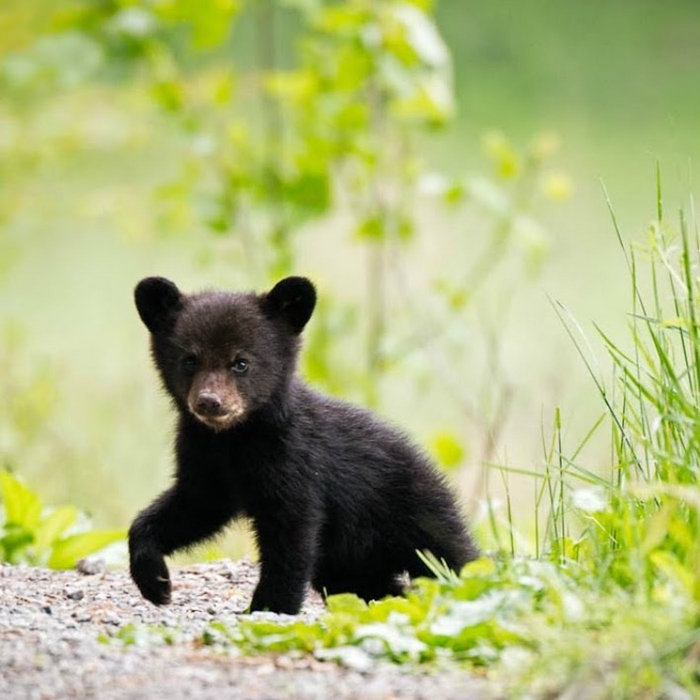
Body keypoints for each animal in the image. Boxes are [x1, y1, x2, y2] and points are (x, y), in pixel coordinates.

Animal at [128, 275, 479, 614]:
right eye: (190, 359)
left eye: (241, 362)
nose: (210, 402)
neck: (234, 440)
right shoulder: (203, 458)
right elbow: (194, 507)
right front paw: (154, 580)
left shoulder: (295, 460)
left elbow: (290, 535)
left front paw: (270, 606)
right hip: (349, 558)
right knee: (365, 585)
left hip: (415, 513)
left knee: (454, 556)